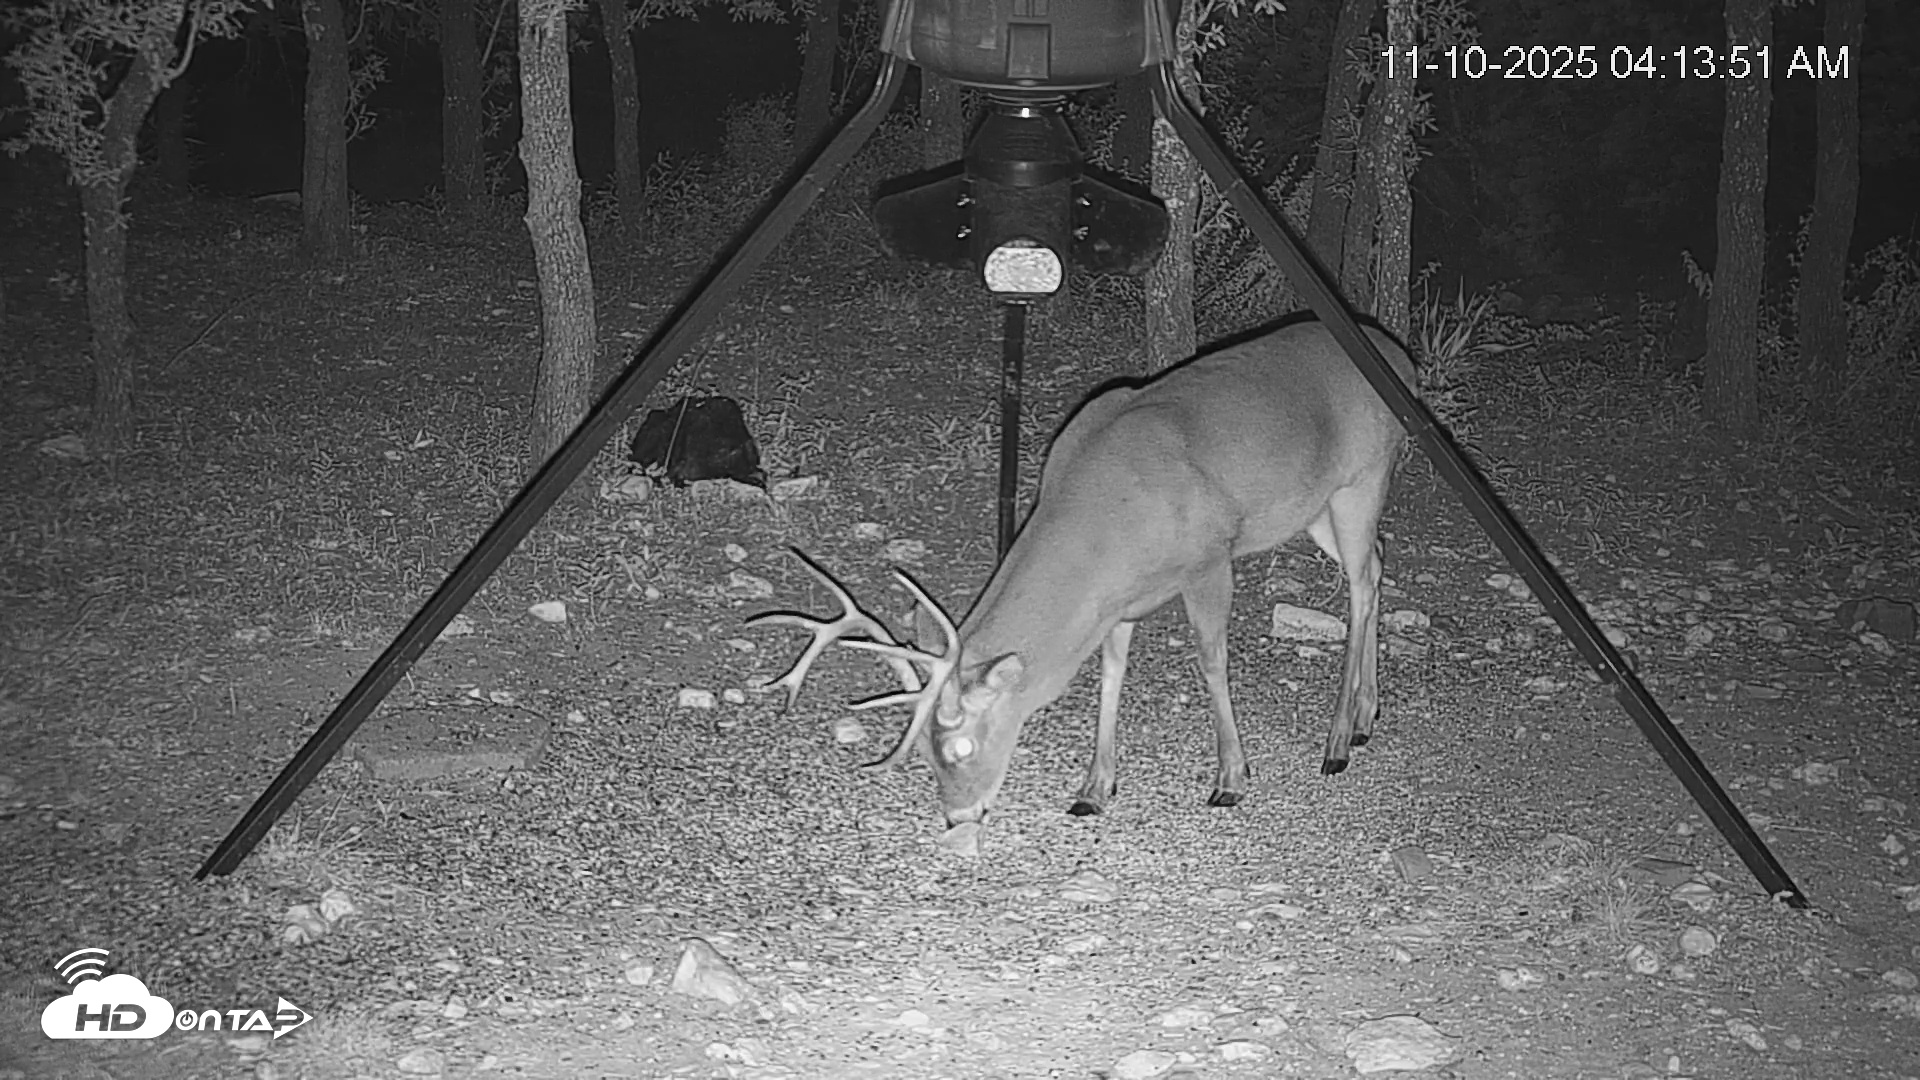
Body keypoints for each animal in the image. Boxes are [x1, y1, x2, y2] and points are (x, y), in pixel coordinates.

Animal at [750, 318, 1415, 832]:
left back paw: (1336, 744)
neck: (1109, 511)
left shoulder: (1209, 555)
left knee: (1360, 590)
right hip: (1319, 510)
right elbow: (1110, 676)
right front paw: (1094, 789)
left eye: (961, 746)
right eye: (927, 758)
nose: (958, 817)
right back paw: (1366, 718)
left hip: (1363, 477)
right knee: (1379, 564)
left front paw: (1231, 777)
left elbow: (1211, 661)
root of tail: (1402, 357)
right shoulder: (1118, 599)